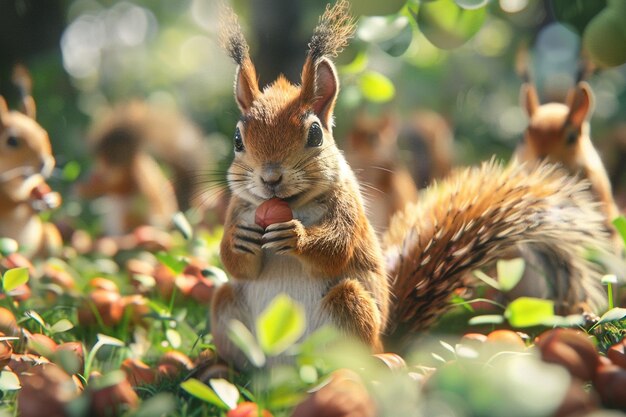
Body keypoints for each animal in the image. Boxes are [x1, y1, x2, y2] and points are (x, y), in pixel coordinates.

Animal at [0, 66, 62, 256]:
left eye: (43, 133)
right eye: (12, 141)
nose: (45, 163)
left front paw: (52, 198)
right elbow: (8, 204)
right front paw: (28, 202)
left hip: (49, 236)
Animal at [212, 0, 612, 364]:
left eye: (314, 134)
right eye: (237, 139)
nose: (270, 178)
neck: (293, 204)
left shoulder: (348, 210)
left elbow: (337, 248)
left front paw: (296, 236)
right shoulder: (238, 208)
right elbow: (234, 263)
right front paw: (239, 239)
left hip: (349, 305)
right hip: (226, 304)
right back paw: (214, 365)